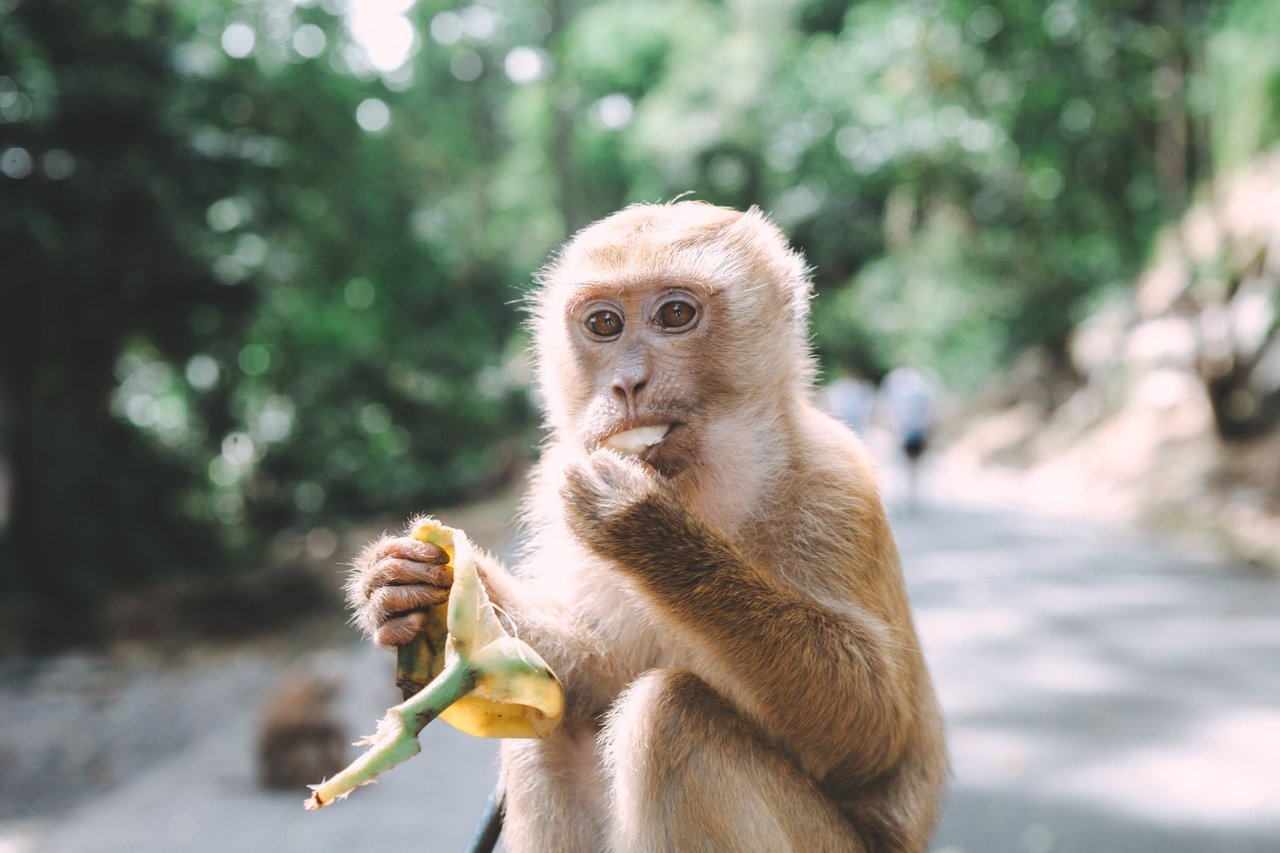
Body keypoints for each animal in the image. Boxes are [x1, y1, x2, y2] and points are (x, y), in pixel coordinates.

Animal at [345, 202, 947, 845]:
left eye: (676, 315)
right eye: (605, 324)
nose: (627, 382)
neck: (704, 486)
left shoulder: (837, 487)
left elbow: (873, 735)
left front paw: (645, 527)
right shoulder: (555, 478)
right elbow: (600, 676)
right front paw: (402, 586)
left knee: (672, 717)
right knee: (549, 735)